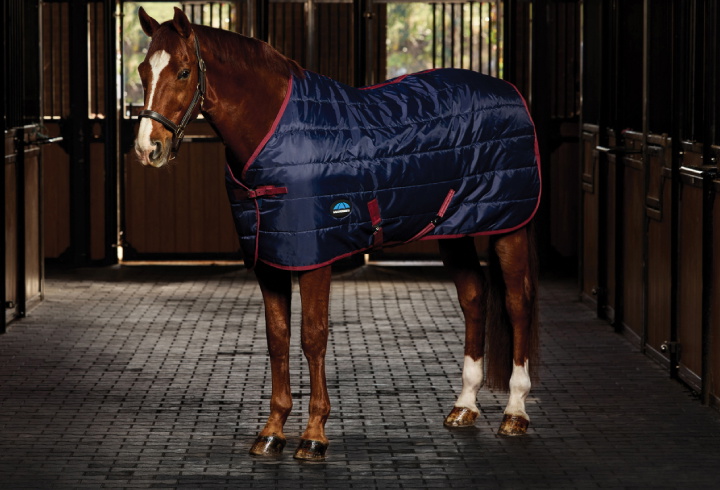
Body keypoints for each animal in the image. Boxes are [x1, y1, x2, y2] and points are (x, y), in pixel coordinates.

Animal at [134, 7, 540, 462]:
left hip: (510, 225)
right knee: (473, 296)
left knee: (517, 303)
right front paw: (272, 431)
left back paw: (515, 412)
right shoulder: (270, 259)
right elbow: (277, 338)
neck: (275, 133)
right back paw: (464, 406)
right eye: (142, 71)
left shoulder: (316, 257)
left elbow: (313, 337)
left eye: (184, 71)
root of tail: (510, 91)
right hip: (455, 228)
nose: (148, 148)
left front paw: (314, 435)